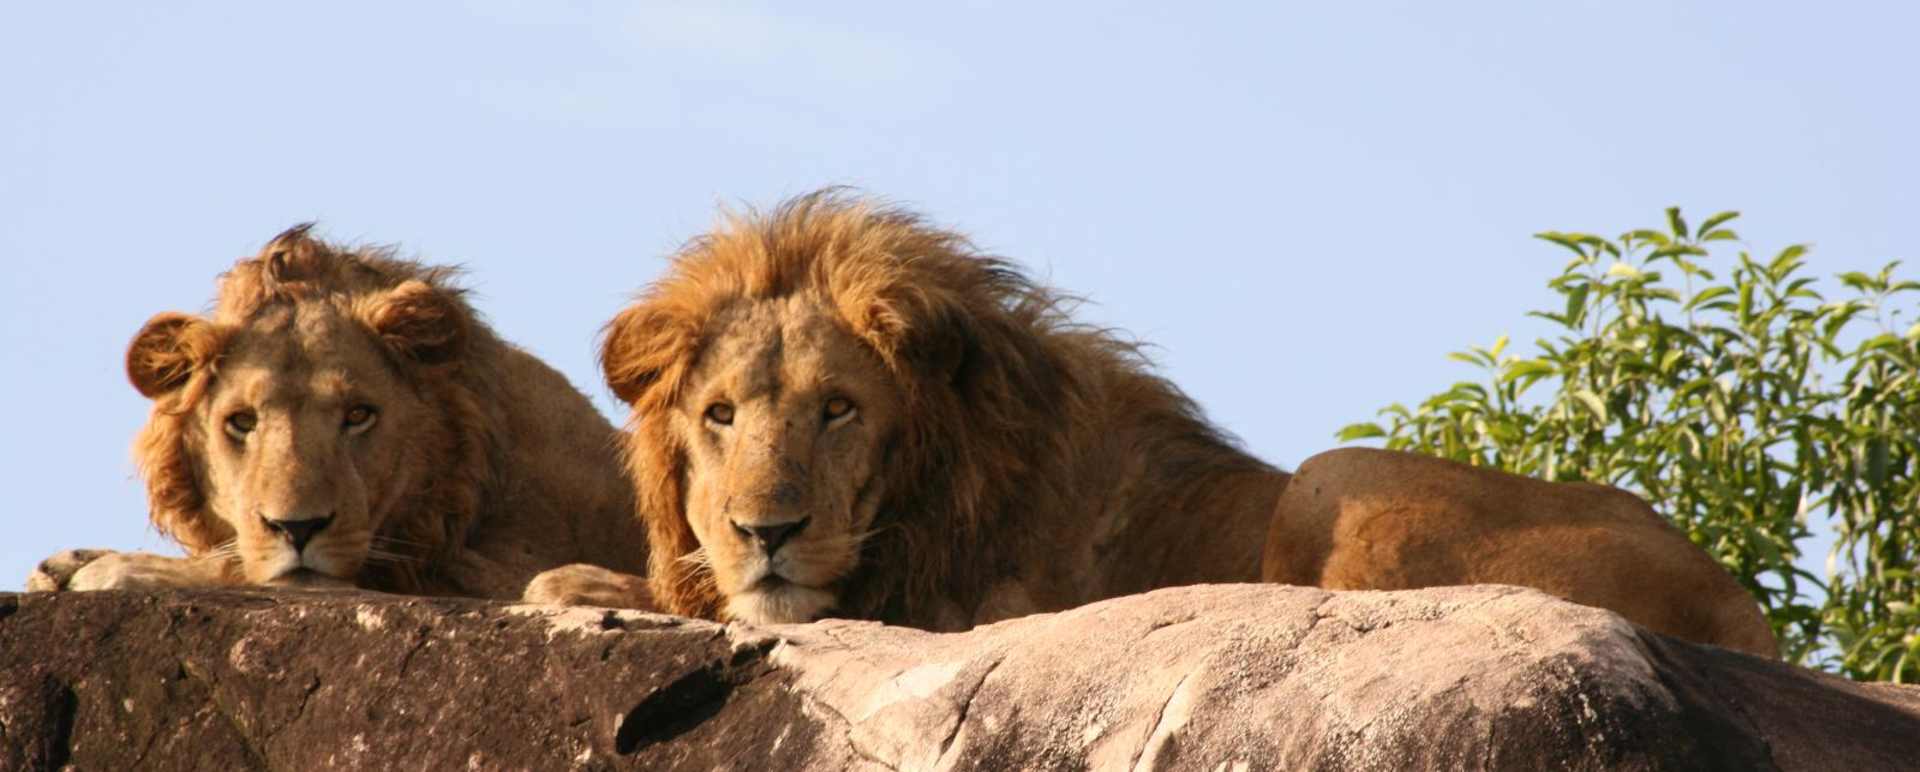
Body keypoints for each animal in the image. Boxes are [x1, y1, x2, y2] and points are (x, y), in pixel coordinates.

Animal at [26, 226, 647, 600]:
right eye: (241, 421)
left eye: (358, 415)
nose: (297, 528)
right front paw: (69, 561)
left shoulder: (482, 568)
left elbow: (244, 565)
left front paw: (115, 568)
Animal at [527, 191, 1774, 658]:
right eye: (718, 414)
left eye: (838, 409)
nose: (766, 531)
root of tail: (1743, 611)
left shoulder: (962, 611)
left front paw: (582, 582)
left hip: (1335, 475)